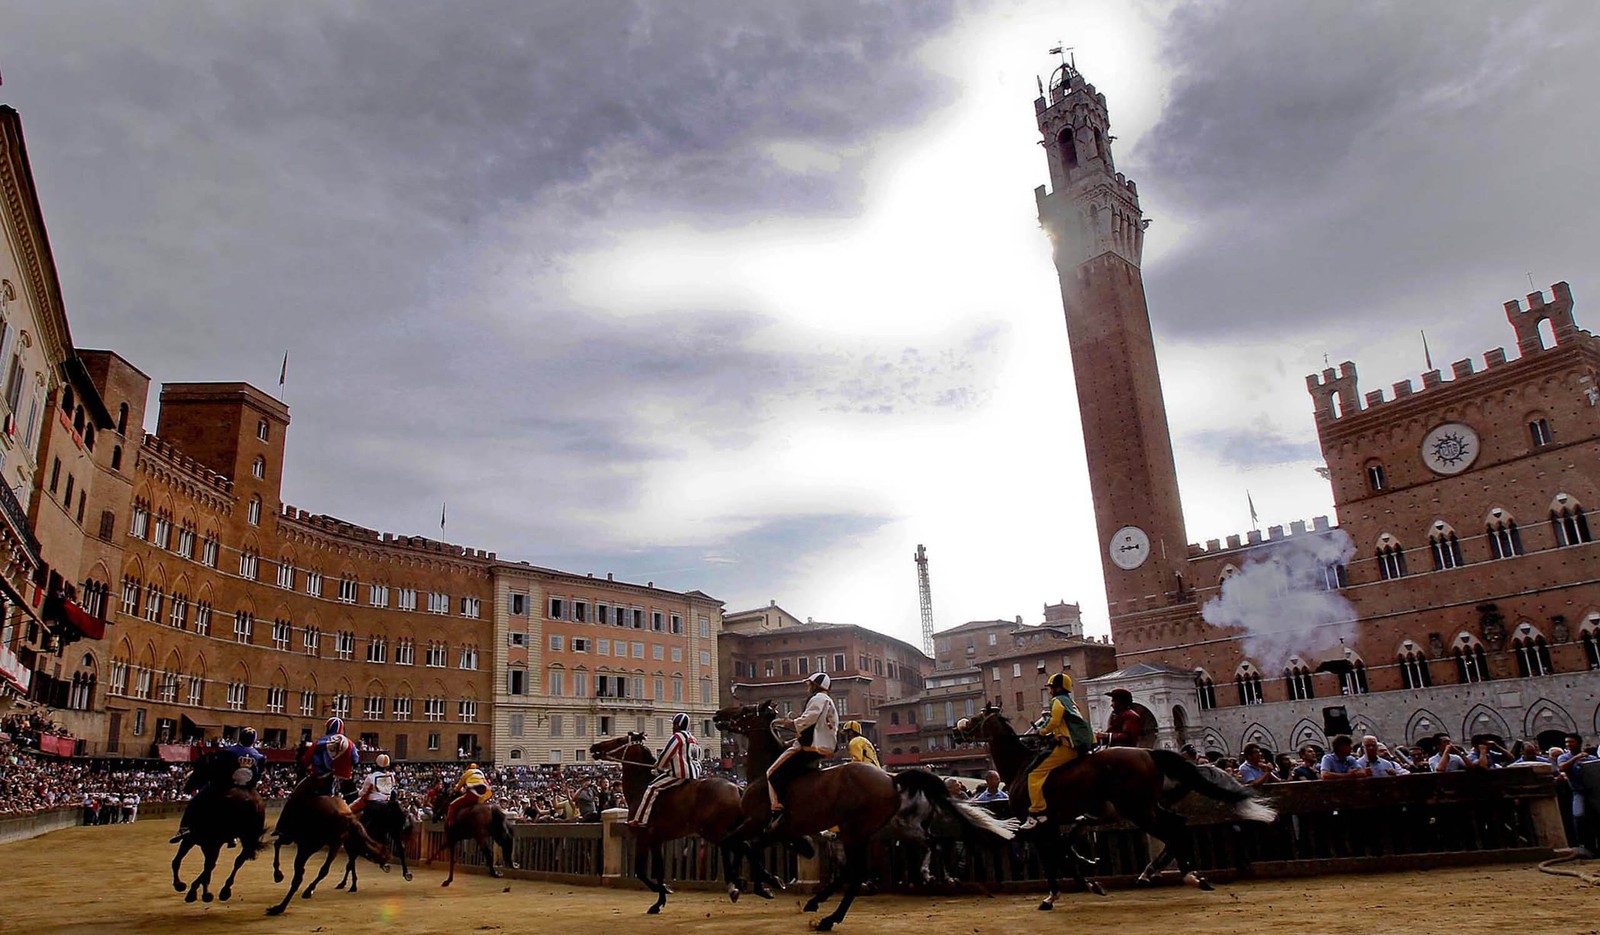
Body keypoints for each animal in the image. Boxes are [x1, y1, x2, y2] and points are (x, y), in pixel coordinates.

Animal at [170, 752, 267, 896]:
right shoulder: (209, 843)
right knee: (238, 860)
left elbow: (178, 861)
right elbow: (208, 866)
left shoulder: (194, 839)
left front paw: (180, 884)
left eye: (199, 766)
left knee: (212, 864)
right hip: (247, 838)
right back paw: (225, 889)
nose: (187, 787)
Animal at [267, 778, 392, 915]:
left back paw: (280, 907)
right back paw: (310, 890)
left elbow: (277, 844)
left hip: (310, 845)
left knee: (299, 875)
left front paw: (278, 875)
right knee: (325, 869)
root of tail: (345, 817)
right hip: (334, 844)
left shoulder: (293, 839)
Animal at [592, 730, 784, 915]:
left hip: (713, 831)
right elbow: (659, 871)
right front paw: (659, 902)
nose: (595, 747)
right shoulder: (656, 840)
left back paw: (758, 881)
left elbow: (642, 872)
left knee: (743, 847)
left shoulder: (644, 837)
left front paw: (663, 892)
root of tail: (737, 788)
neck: (641, 786)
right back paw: (756, 884)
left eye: (619, 740)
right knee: (746, 847)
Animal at [713, 701, 1011, 928]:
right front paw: (756, 882)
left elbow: (739, 845)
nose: (717, 715)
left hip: (857, 832)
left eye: (745, 710)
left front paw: (751, 884)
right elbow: (745, 846)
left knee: (858, 873)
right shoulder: (783, 830)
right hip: (876, 831)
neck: (765, 775)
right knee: (919, 846)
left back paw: (830, 918)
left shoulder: (760, 823)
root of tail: (893, 780)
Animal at [947, 704, 1273, 909]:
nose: (956, 731)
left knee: (1171, 829)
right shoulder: (1056, 823)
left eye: (975, 719)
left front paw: (1055, 894)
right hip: (1142, 807)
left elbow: (1055, 856)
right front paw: (1087, 883)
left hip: (1137, 809)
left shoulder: (1040, 824)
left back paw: (1184, 874)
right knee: (1177, 824)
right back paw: (1176, 873)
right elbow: (1064, 852)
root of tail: (1149, 753)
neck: (1021, 766)